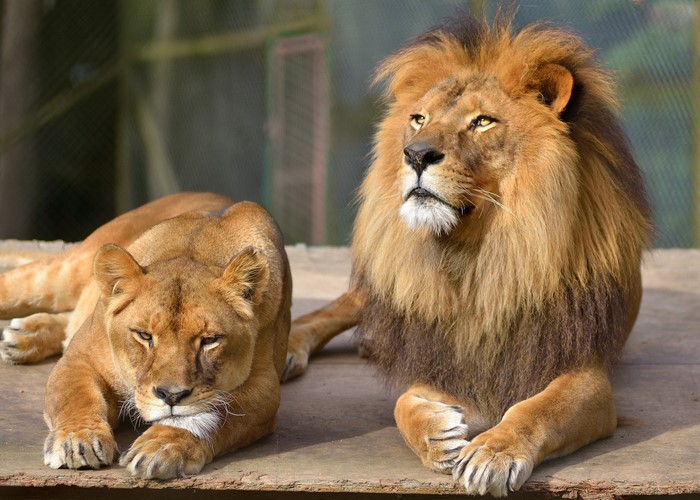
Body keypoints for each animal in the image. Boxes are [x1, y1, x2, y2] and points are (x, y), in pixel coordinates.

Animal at [0, 192, 292, 479]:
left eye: (209, 340)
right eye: (144, 335)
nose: (171, 396)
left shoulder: (265, 387)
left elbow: (216, 414)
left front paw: (164, 446)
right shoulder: (79, 357)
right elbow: (75, 396)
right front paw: (77, 441)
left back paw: (22, 336)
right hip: (60, 274)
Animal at [285, 13, 651, 497]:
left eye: (482, 121)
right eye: (418, 119)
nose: (415, 154)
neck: (475, 255)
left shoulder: (585, 373)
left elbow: (538, 409)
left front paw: (493, 453)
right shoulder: (444, 356)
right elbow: (403, 403)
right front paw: (438, 436)